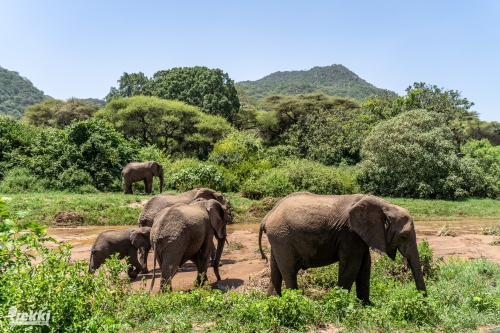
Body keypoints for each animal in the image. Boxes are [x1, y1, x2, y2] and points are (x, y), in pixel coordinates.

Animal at [258, 192, 426, 304]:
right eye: (404, 236)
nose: (423, 300)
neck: (386, 205)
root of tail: (266, 217)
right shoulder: (350, 233)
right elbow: (352, 267)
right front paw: (334, 302)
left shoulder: (361, 236)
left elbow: (365, 266)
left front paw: (366, 305)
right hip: (282, 236)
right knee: (290, 271)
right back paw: (298, 302)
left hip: (278, 239)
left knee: (276, 270)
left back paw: (273, 301)